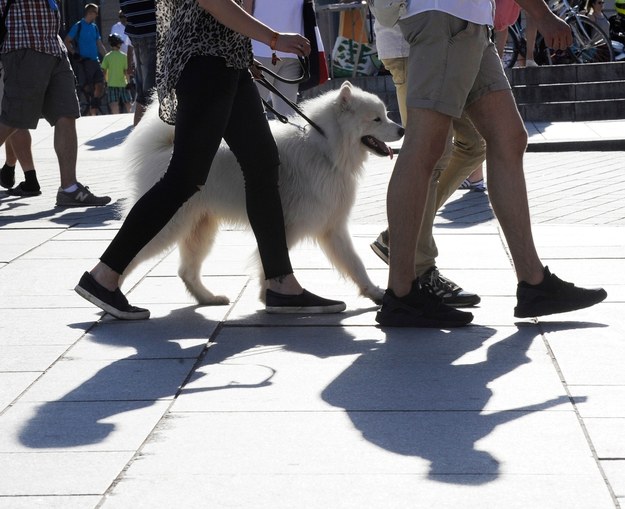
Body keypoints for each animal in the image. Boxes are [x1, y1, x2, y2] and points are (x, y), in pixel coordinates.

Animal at [122, 82, 404, 306]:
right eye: (376, 119)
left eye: (386, 115)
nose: (402, 130)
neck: (325, 150)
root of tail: (164, 149)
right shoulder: (291, 226)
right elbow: (270, 258)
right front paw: (270, 294)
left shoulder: (332, 227)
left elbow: (355, 264)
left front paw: (375, 293)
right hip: (171, 225)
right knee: (134, 251)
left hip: (201, 228)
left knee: (186, 271)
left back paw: (209, 298)